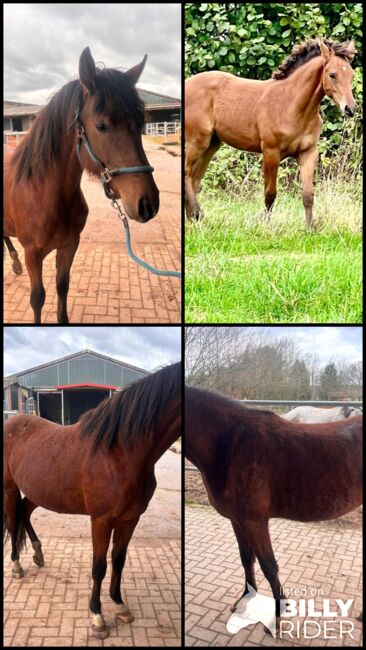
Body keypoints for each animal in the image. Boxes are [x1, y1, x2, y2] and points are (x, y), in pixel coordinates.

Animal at [2, 360, 180, 636]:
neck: (120, 452)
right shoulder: (101, 520)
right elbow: (99, 567)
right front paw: (97, 616)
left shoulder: (130, 519)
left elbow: (118, 560)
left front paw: (119, 605)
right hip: (10, 487)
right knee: (12, 521)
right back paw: (16, 566)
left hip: (37, 490)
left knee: (24, 512)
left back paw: (38, 555)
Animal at [3, 45, 159, 322]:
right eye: (101, 126)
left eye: (141, 124)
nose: (147, 204)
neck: (44, 195)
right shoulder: (33, 254)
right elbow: (37, 298)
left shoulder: (69, 246)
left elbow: (62, 287)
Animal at [186, 384, 364, 628]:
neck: (230, 444)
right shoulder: (237, 520)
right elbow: (246, 559)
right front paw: (245, 599)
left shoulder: (255, 522)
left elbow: (269, 565)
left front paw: (280, 612)